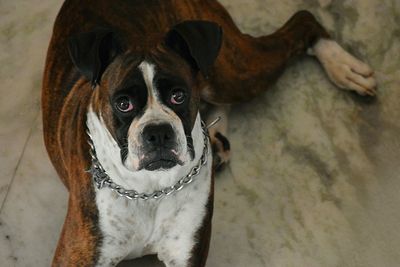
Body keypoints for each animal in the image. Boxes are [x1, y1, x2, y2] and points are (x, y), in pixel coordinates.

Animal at [42, 0, 376, 267]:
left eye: (178, 96)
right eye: (123, 103)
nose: (158, 132)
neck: (149, 190)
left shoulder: (186, 254)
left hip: (233, 71)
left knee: (302, 20)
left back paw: (344, 67)